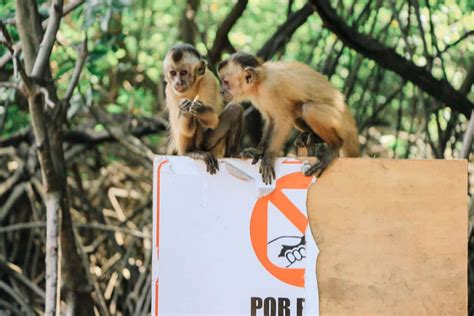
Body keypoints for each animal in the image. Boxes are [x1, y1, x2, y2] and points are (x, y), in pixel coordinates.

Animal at [164, 43, 244, 174]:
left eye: (184, 72)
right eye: (173, 73)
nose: (178, 82)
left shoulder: (208, 79)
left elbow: (213, 119)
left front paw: (197, 108)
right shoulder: (169, 90)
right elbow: (184, 129)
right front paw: (185, 109)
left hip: (212, 146)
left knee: (235, 109)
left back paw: (231, 153)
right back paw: (191, 152)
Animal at [218, 53, 360, 184]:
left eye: (226, 82)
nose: (221, 91)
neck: (260, 82)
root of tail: (351, 124)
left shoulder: (272, 88)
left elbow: (284, 120)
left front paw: (269, 155)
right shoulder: (258, 97)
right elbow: (271, 120)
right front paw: (259, 151)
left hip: (340, 121)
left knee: (307, 108)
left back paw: (335, 145)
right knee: (297, 109)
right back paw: (314, 137)